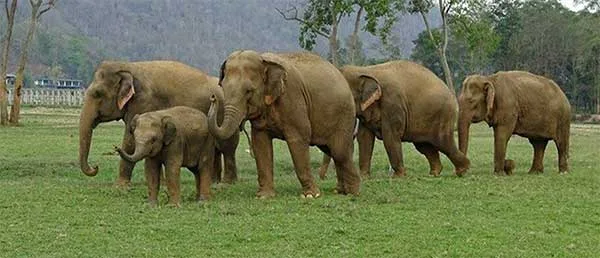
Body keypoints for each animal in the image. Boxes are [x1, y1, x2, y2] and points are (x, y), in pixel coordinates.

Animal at [79, 60, 239, 185]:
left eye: (98, 93)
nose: (95, 167)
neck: (128, 66)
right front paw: (160, 182)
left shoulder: (144, 101)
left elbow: (130, 140)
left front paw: (120, 186)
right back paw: (214, 181)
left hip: (223, 112)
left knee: (227, 146)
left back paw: (227, 183)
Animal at [209, 51, 360, 199]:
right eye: (222, 87)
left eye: (248, 91)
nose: (213, 97)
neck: (263, 59)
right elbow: (260, 143)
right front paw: (264, 196)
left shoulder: (292, 97)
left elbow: (298, 139)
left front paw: (311, 195)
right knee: (331, 150)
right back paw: (341, 191)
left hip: (344, 115)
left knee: (340, 152)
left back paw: (353, 192)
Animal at [340, 60, 472, 177]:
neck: (365, 70)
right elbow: (364, 138)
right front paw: (364, 177)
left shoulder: (393, 103)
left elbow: (390, 136)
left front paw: (398, 176)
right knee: (423, 146)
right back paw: (434, 173)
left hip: (443, 115)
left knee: (444, 143)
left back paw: (462, 170)